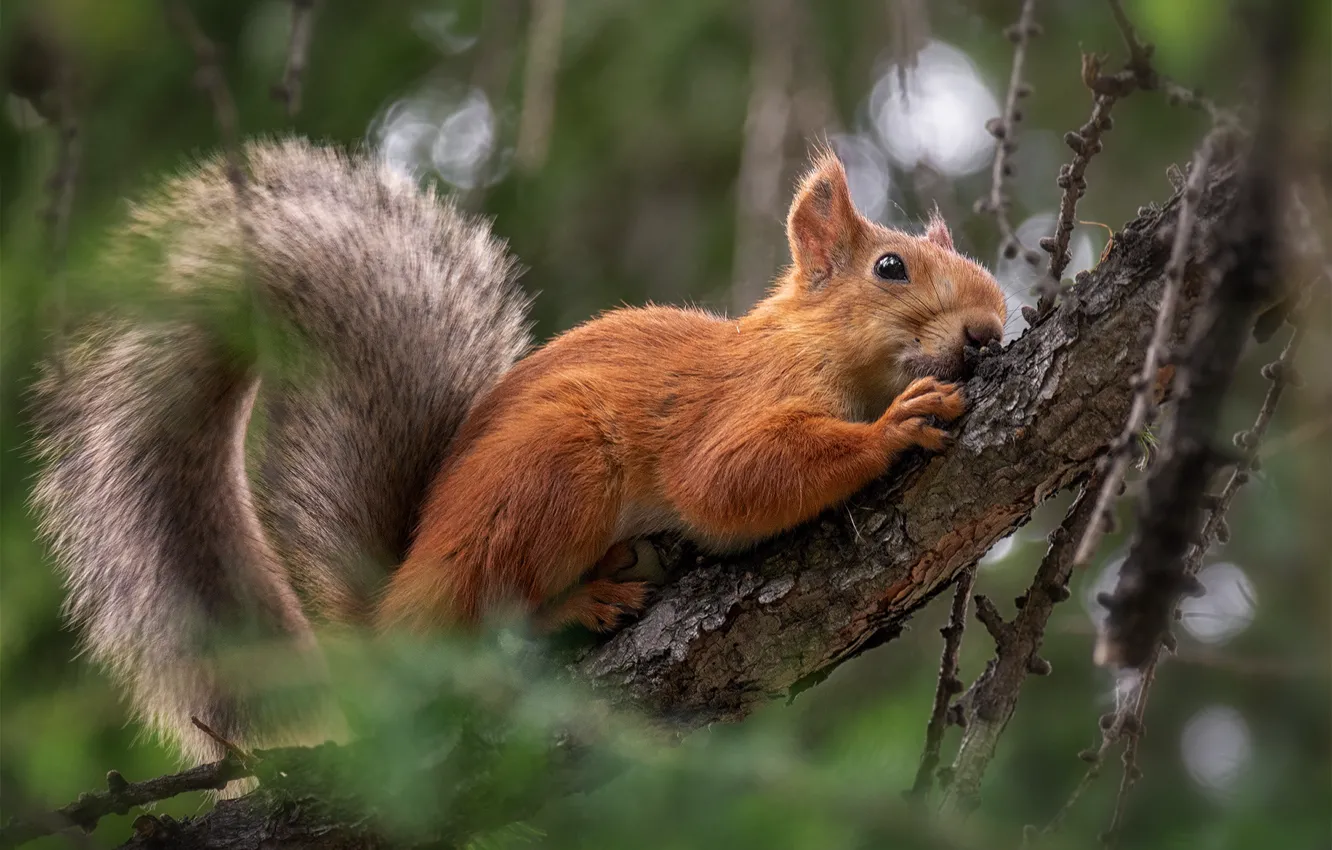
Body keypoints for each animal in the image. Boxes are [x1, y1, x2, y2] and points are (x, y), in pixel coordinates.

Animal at [28, 138, 1001, 772]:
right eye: (890, 268)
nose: (989, 333)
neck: (812, 346)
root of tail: (393, 609)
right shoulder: (732, 406)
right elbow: (725, 480)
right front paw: (893, 427)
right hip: (555, 471)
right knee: (482, 620)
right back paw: (580, 601)